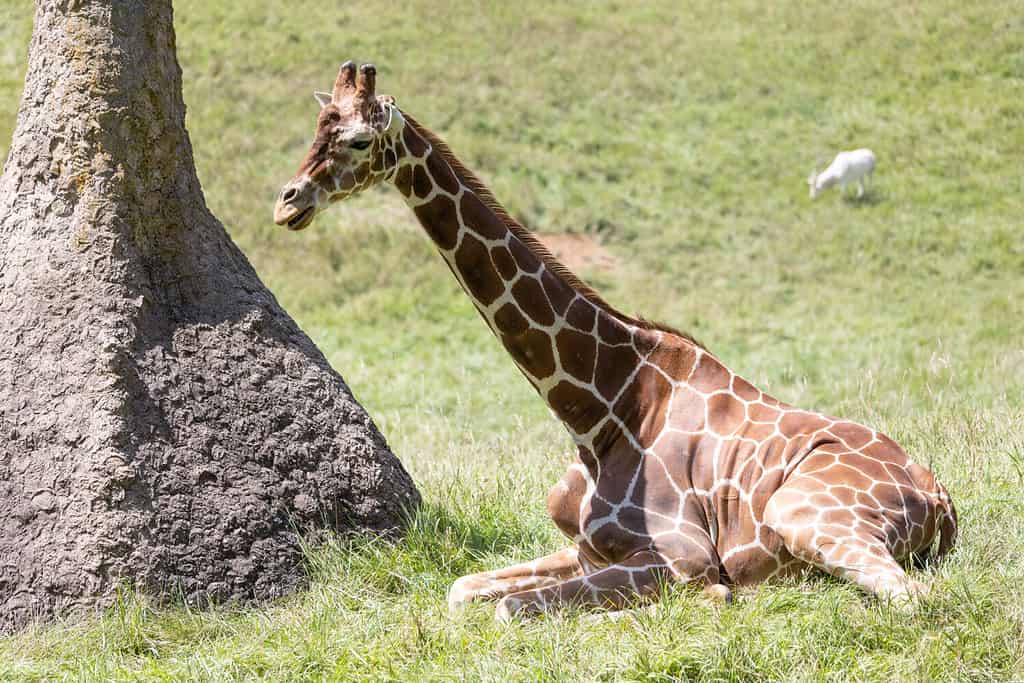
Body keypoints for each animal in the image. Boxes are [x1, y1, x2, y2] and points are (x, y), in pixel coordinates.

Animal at [274, 61, 958, 622]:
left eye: (359, 140)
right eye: (316, 129)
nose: (288, 202)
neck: (596, 409)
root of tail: (940, 497)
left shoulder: (682, 556)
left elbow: (514, 610)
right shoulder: (584, 551)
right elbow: (463, 590)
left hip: (803, 514)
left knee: (913, 598)